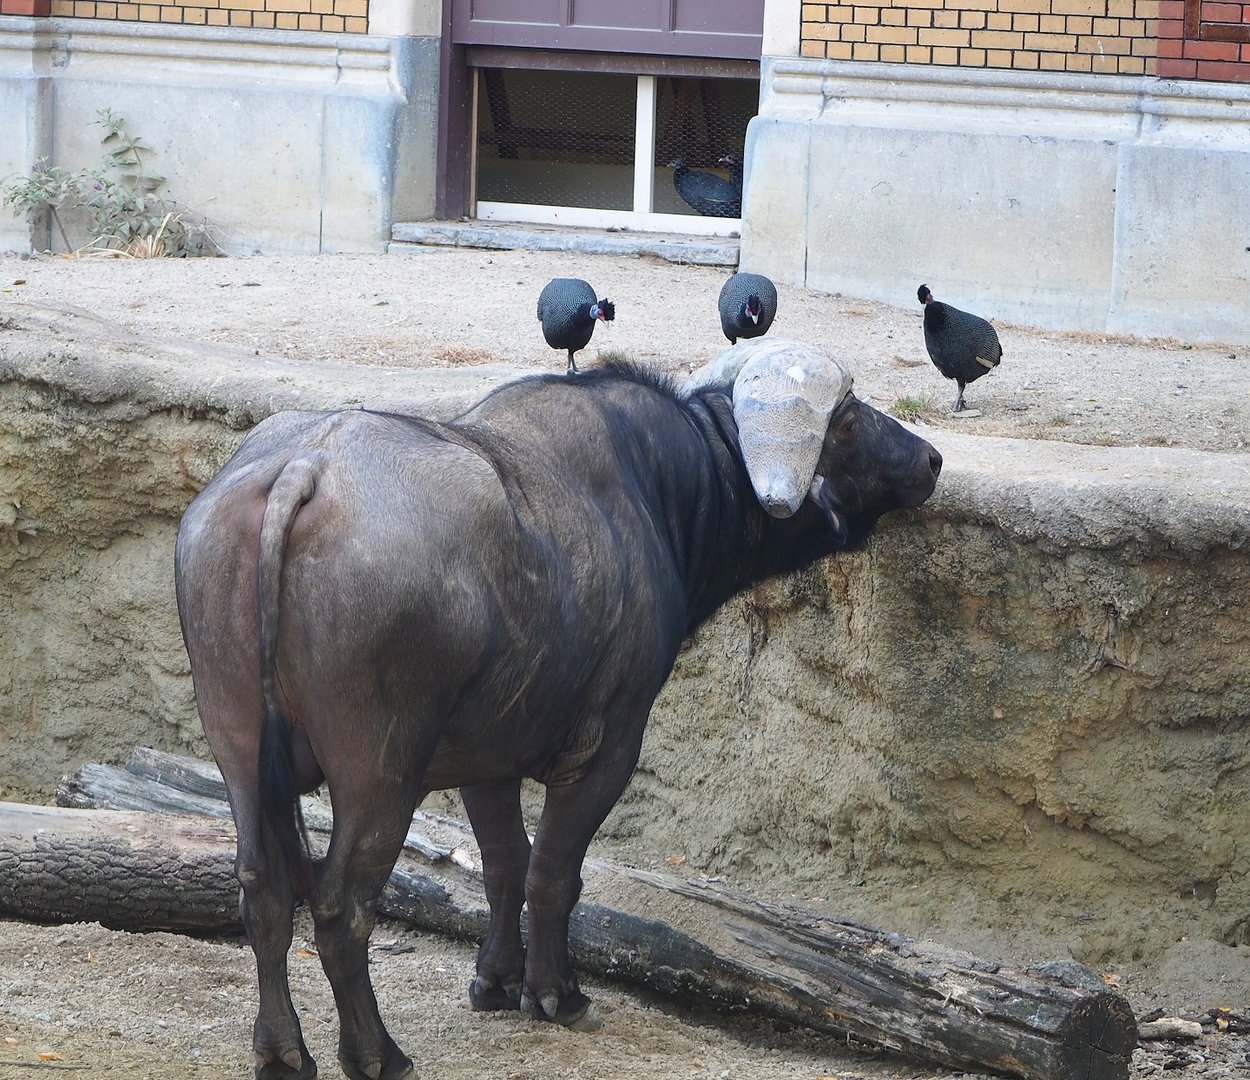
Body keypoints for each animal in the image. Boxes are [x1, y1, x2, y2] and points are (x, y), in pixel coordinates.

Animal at [174, 338, 941, 1080]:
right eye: (848, 419)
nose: (930, 458)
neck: (663, 486)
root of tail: (303, 469)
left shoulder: (486, 757)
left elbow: (504, 863)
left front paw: (495, 981)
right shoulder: (607, 748)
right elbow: (554, 872)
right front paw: (554, 993)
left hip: (238, 749)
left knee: (263, 891)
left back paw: (281, 1050)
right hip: (379, 771)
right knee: (340, 906)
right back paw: (376, 1053)